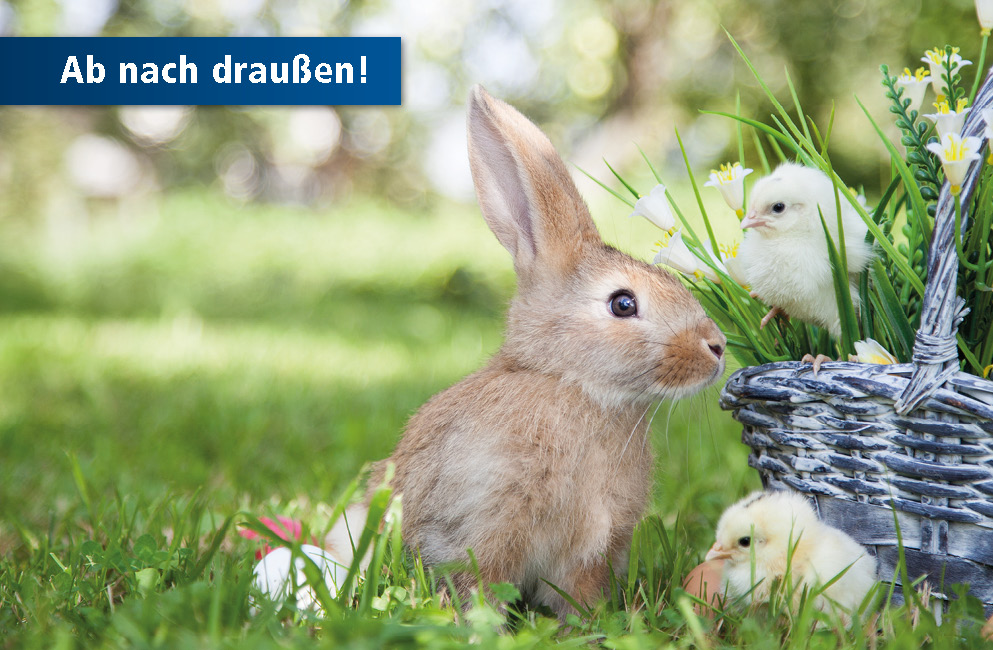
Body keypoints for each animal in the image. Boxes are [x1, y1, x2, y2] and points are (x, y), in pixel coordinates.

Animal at [362, 86, 726, 619]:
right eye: (623, 303)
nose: (717, 347)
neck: (571, 385)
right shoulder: (484, 526)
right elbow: (481, 584)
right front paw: (482, 625)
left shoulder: (590, 552)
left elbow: (578, 594)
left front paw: (589, 625)